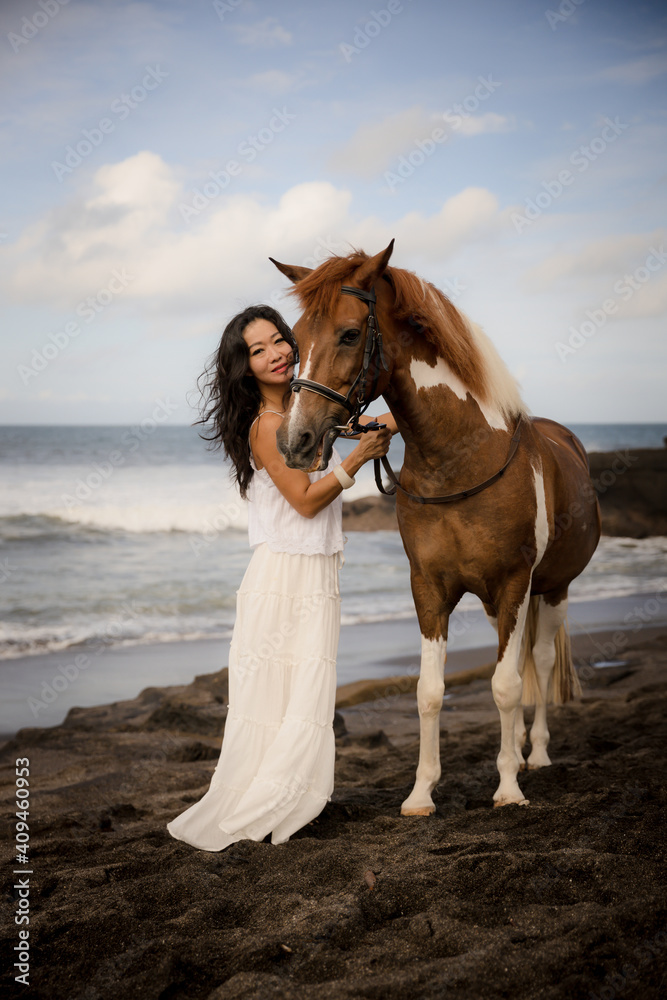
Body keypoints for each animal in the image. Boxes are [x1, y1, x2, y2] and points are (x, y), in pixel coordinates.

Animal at [270, 241, 601, 812]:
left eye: (350, 334)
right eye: (295, 339)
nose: (296, 441)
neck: (460, 460)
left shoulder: (514, 584)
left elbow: (507, 685)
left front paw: (508, 788)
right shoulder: (428, 587)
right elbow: (430, 691)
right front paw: (422, 792)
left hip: (552, 588)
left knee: (536, 662)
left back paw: (533, 753)